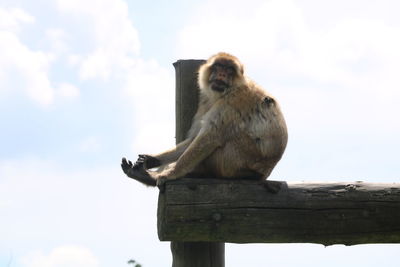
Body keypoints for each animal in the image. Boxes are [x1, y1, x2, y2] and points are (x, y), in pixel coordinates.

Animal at [121, 52, 288, 188]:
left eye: (229, 70)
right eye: (218, 67)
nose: (222, 74)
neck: (226, 92)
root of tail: (264, 173)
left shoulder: (234, 101)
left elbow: (209, 138)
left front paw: (169, 174)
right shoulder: (206, 100)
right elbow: (195, 138)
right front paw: (151, 159)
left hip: (236, 160)